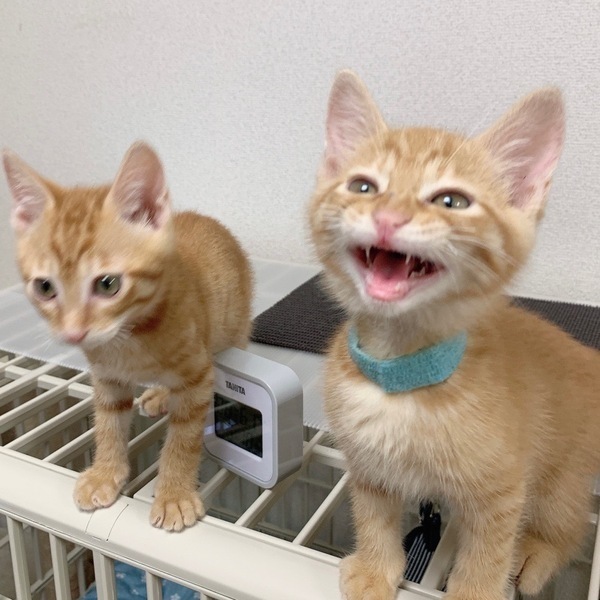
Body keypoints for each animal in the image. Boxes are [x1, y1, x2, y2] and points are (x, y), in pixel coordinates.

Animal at [3, 142, 253, 531]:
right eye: (44, 287)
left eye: (108, 284)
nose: (73, 333)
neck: (128, 336)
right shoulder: (107, 377)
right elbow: (108, 422)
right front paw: (105, 473)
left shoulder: (198, 374)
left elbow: (184, 437)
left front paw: (174, 494)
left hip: (235, 330)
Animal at [309, 70, 600, 600]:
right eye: (363, 186)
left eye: (452, 201)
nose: (388, 218)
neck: (401, 376)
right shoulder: (368, 467)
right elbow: (373, 514)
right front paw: (376, 569)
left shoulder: (501, 489)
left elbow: (487, 556)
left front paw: (476, 590)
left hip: (563, 469)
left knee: (568, 520)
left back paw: (539, 550)